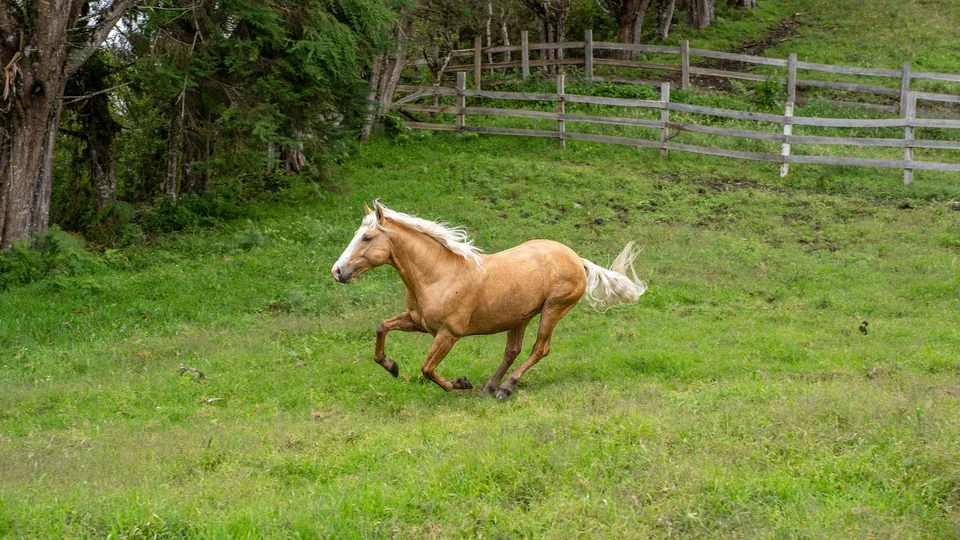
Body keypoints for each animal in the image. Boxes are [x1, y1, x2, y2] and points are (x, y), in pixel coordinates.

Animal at [332, 201, 646, 399]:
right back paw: (490, 387)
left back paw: (505, 388)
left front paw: (459, 384)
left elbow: (427, 369)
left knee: (539, 349)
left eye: (367, 238)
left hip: (553, 309)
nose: (337, 271)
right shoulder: (417, 322)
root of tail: (577, 259)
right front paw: (391, 366)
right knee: (513, 351)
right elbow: (382, 327)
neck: (438, 274)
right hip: (520, 317)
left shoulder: (448, 334)